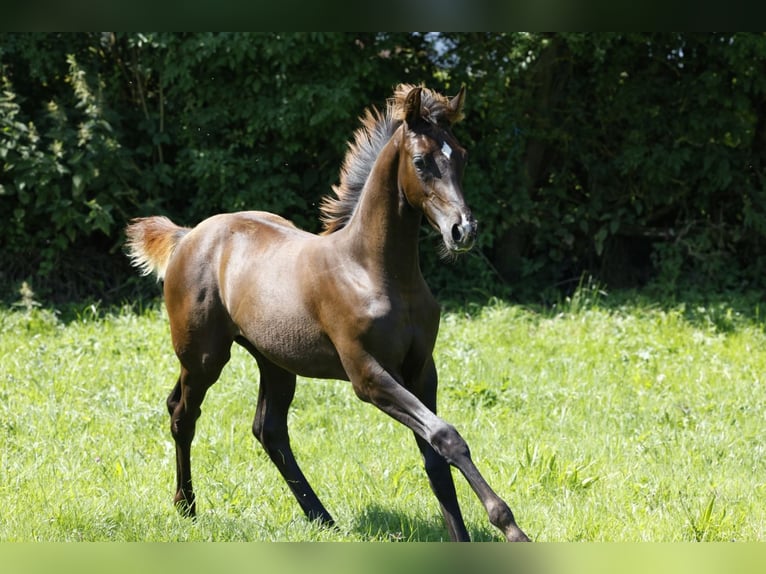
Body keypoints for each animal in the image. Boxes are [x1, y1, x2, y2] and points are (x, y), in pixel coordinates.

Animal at [127, 83, 536, 544]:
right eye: (420, 161)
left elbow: (435, 454)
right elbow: (447, 436)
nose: (462, 230)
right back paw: (187, 507)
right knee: (183, 413)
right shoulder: (368, 375)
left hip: (275, 361)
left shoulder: (421, 370)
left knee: (269, 429)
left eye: (462, 156)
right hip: (203, 357)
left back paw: (320, 516)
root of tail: (188, 236)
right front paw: (511, 527)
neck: (374, 271)